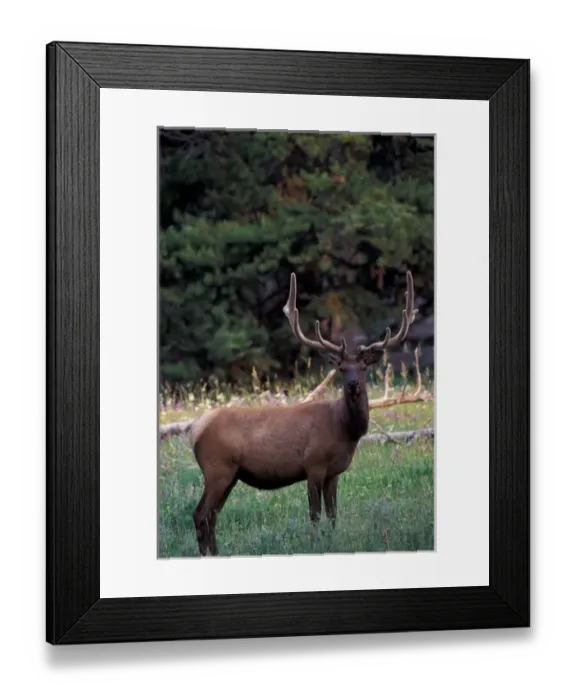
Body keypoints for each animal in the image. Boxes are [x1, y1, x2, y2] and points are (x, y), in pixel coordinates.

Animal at [162, 271, 416, 556]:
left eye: (362, 367)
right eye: (341, 368)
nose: (353, 384)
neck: (343, 428)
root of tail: (194, 428)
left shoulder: (334, 473)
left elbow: (333, 514)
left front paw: (333, 541)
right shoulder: (314, 464)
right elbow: (315, 514)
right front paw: (316, 544)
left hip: (229, 475)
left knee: (211, 516)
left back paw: (216, 554)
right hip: (217, 468)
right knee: (200, 514)